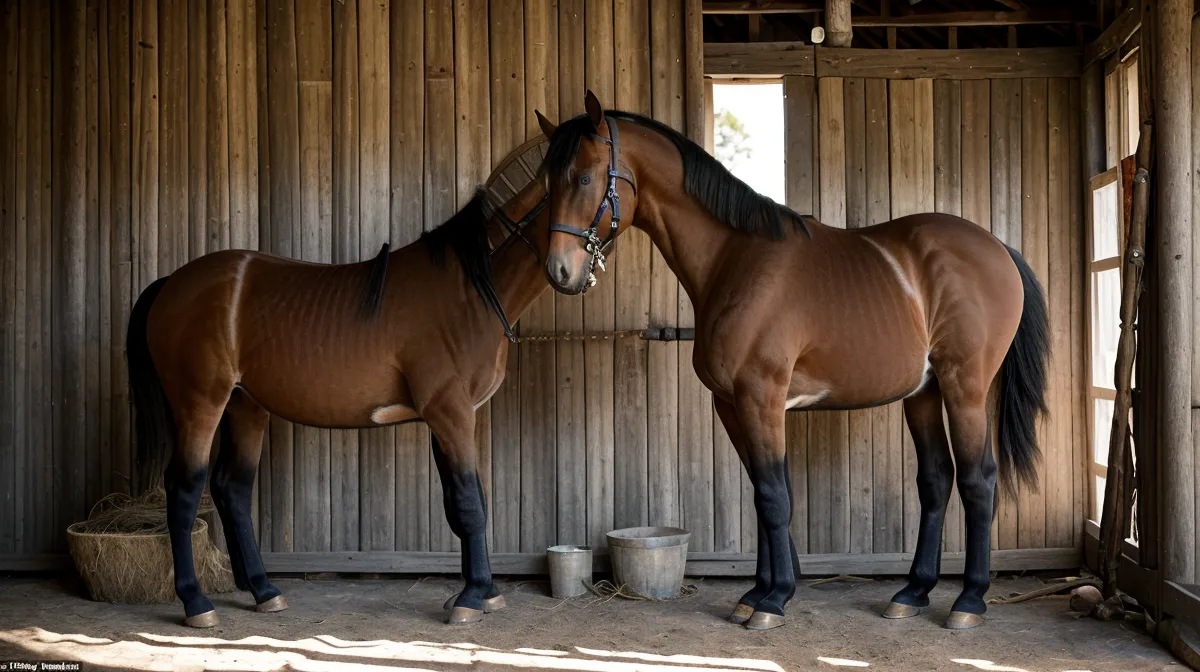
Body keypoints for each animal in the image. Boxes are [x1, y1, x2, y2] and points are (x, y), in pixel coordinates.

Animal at [125, 168, 551, 628]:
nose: (573, 274)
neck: (469, 289)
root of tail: (171, 283)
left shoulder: (447, 418)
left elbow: (463, 500)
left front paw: (483, 591)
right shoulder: (451, 413)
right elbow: (470, 503)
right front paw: (474, 597)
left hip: (245, 405)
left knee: (231, 488)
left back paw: (264, 590)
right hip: (200, 404)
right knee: (184, 489)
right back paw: (196, 603)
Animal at [534, 91, 1049, 631]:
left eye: (584, 177)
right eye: (548, 181)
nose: (559, 270)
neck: (734, 260)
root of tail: (999, 249)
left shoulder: (761, 397)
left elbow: (774, 497)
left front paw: (774, 599)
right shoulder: (732, 405)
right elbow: (762, 492)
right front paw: (756, 592)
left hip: (963, 386)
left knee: (978, 479)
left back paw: (969, 599)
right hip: (922, 393)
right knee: (936, 480)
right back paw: (912, 592)